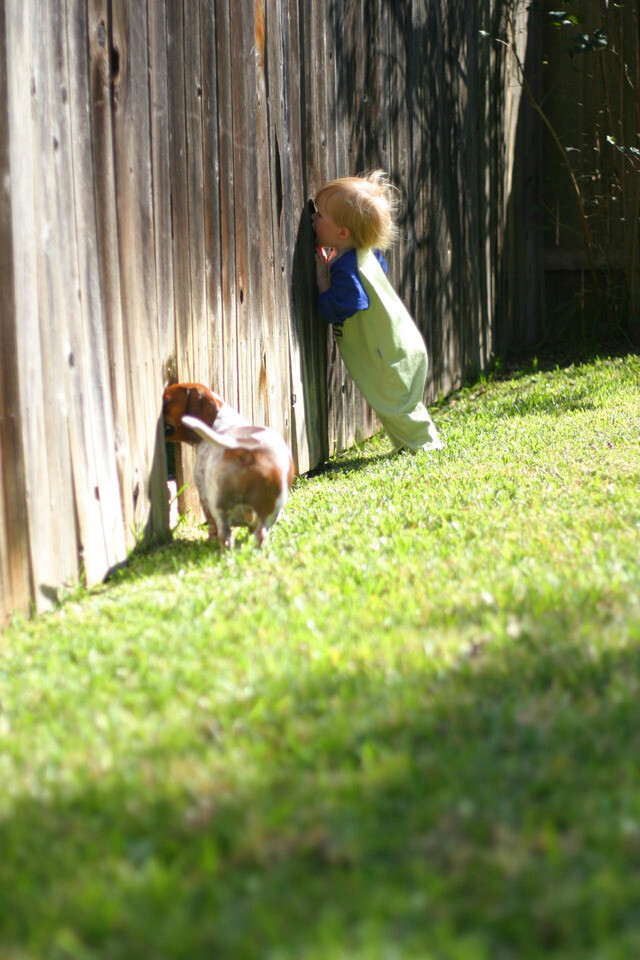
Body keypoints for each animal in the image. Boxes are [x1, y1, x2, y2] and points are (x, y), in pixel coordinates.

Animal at [164, 380, 296, 548]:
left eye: (166, 401)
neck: (221, 423)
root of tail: (244, 447)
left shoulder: (204, 498)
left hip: (219, 505)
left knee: (225, 534)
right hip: (268, 508)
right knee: (256, 534)